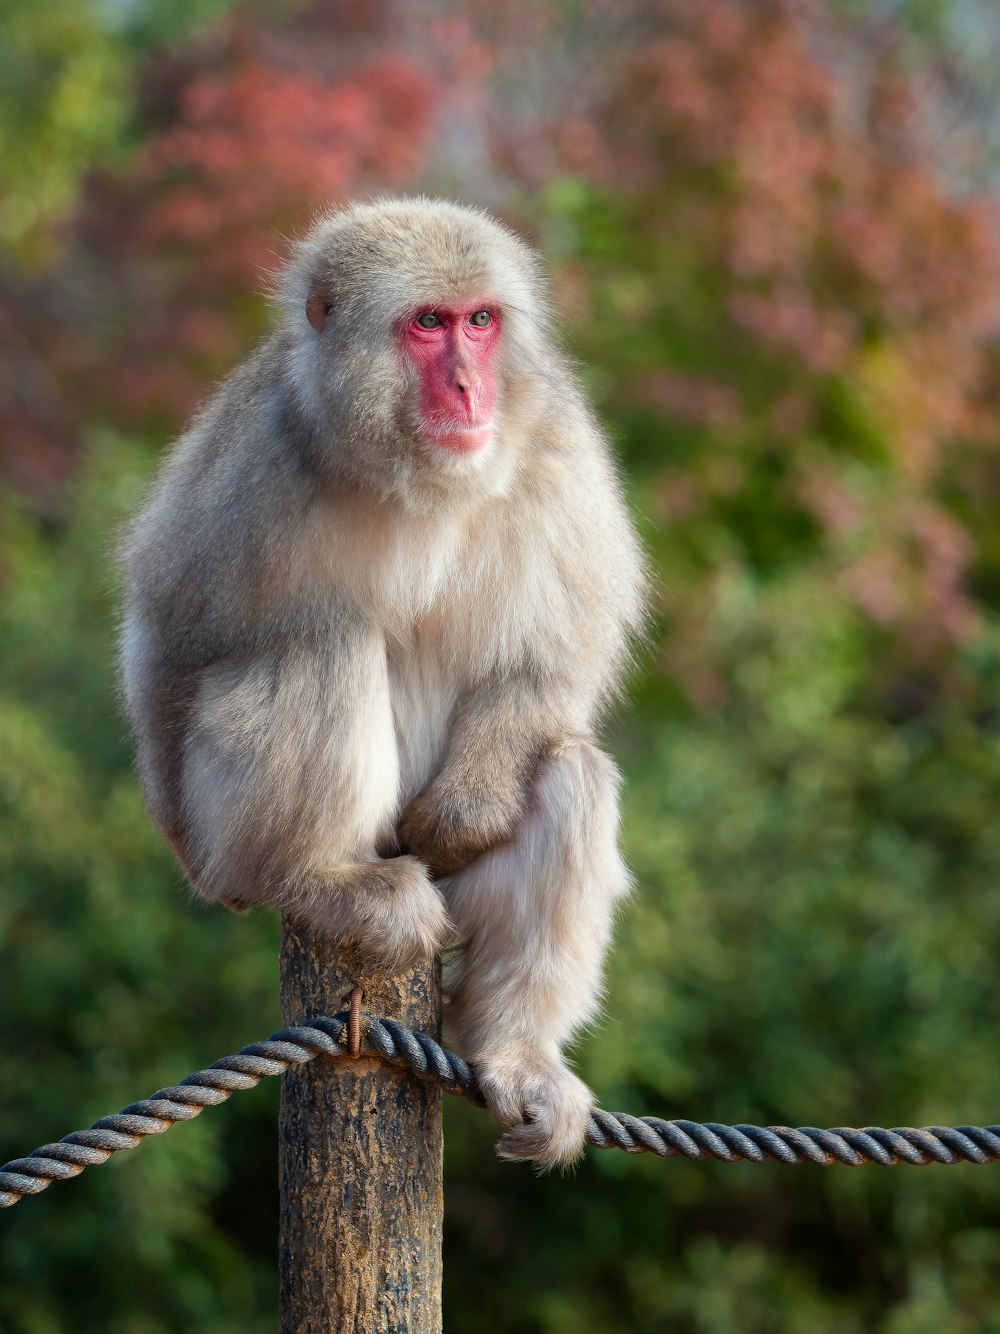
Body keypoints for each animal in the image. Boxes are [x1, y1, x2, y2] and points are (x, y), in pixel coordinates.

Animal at [119, 197, 650, 1168]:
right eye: (427, 323)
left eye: (481, 321)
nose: (472, 389)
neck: (409, 470)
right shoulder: (253, 456)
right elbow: (171, 641)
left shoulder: (555, 443)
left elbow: (553, 654)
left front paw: (468, 810)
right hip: (274, 824)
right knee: (324, 640)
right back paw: (316, 877)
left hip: (452, 884)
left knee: (567, 768)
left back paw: (513, 1048)